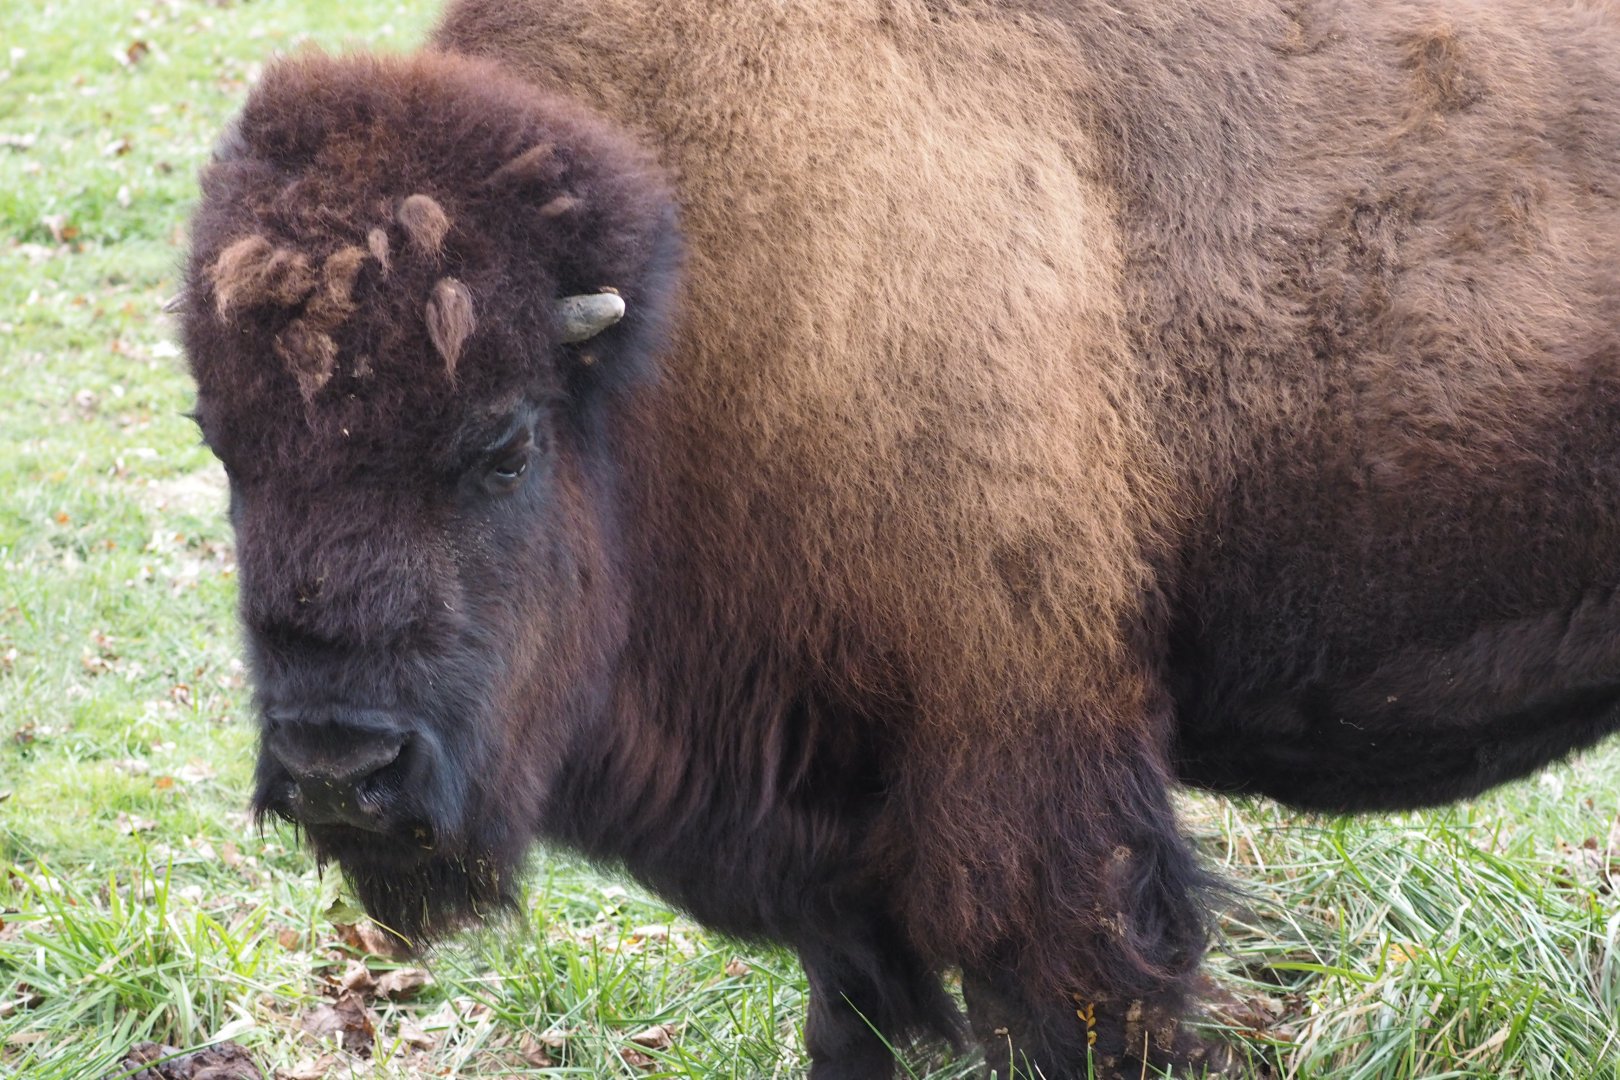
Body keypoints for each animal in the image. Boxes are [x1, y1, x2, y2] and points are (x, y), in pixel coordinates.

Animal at [178, 0, 1620, 1076]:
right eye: (225, 446)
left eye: (502, 445)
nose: (336, 767)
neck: (694, 313)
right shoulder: (837, 825)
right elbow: (850, 1020)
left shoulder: (1032, 781)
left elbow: (1086, 1011)